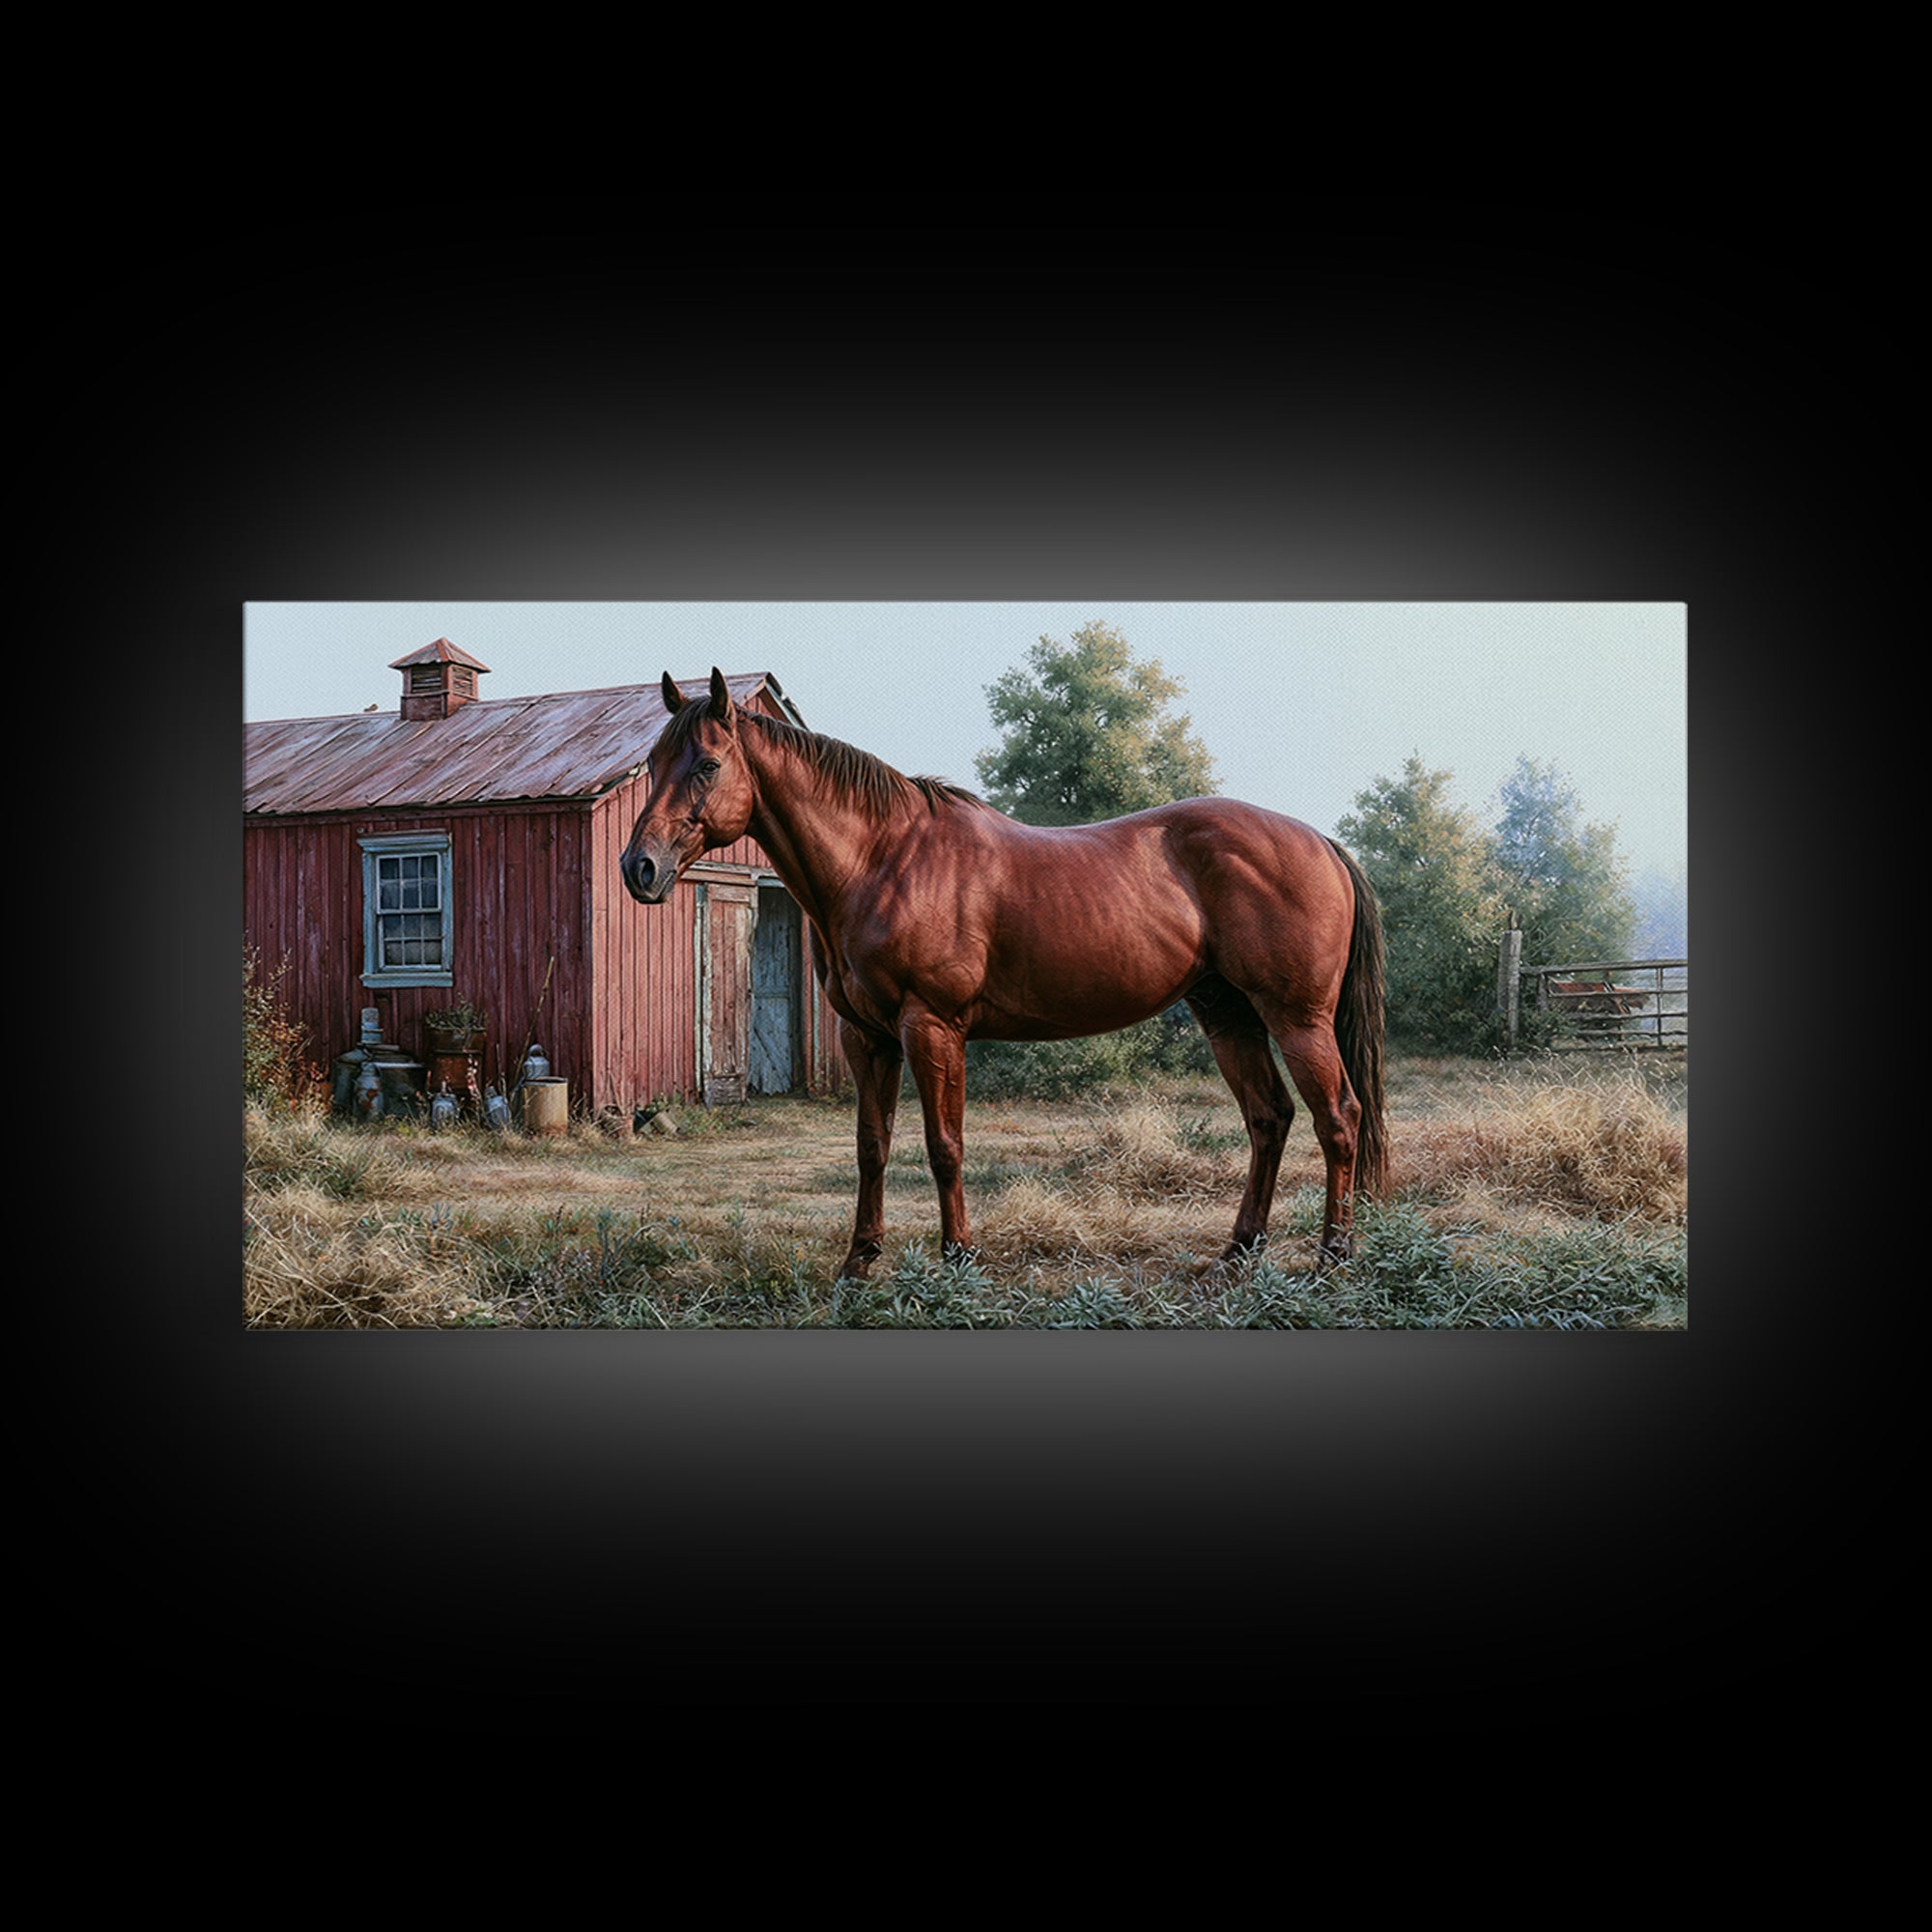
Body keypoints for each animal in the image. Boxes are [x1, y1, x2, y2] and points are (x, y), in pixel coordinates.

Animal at [621, 669, 1387, 1281]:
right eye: (653, 762)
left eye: (708, 764)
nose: (640, 868)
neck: (882, 860)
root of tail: (1319, 841)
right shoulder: (864, 1036)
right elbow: (873, 1147)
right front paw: (858, 1263)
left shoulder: (931, 1027)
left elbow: (944, 1146)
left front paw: (958, 1258)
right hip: (1228, 1014)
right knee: (1269, 1118)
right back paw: (1237, 1253)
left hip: (1297, 1019)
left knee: (1338, 1119)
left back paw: (1333, 1257)